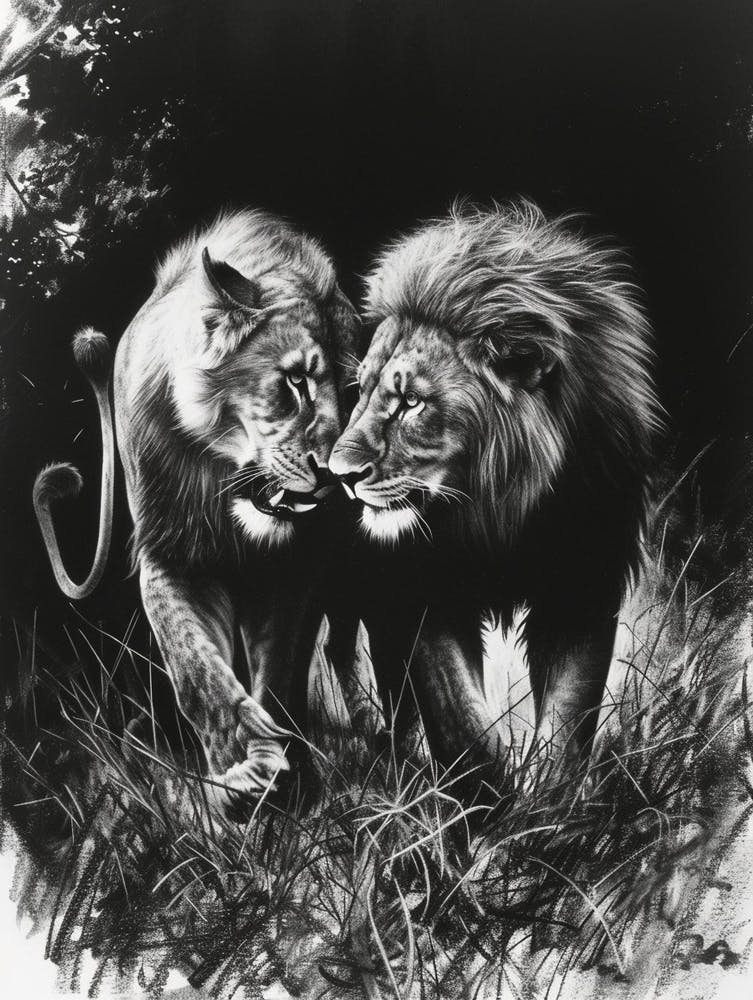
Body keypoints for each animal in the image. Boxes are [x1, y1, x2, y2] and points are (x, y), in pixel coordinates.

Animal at [34, 209, 364, 804]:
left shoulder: (294, 563)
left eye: (354, 393)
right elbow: (193, 665)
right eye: (296, 379)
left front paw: (284, 776)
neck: (222, 483)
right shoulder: (170, 554)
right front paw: (243, 769)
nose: (332, 476)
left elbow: (280, 663)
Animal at [329, 200, 661, 784]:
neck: (499, 510)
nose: (339, 472)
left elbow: (568, 720)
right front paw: (487, 795)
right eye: (361, 391)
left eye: (411, 402)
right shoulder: (424, 588)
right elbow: (459, 718)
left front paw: (549, 802)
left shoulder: (582, 587)